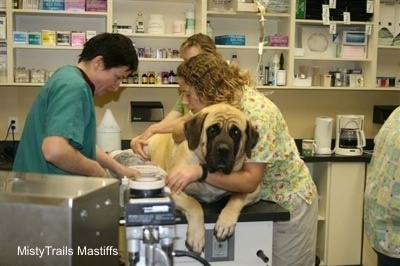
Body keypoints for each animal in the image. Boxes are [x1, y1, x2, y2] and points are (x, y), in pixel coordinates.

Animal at [142, 103, 260, 254]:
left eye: (235, 133)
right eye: (212, 130)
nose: (223, 150)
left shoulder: (254, 189)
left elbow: (237, 197)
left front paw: (225, 223)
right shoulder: (172, 189)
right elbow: (194, 203)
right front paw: (197, 237)